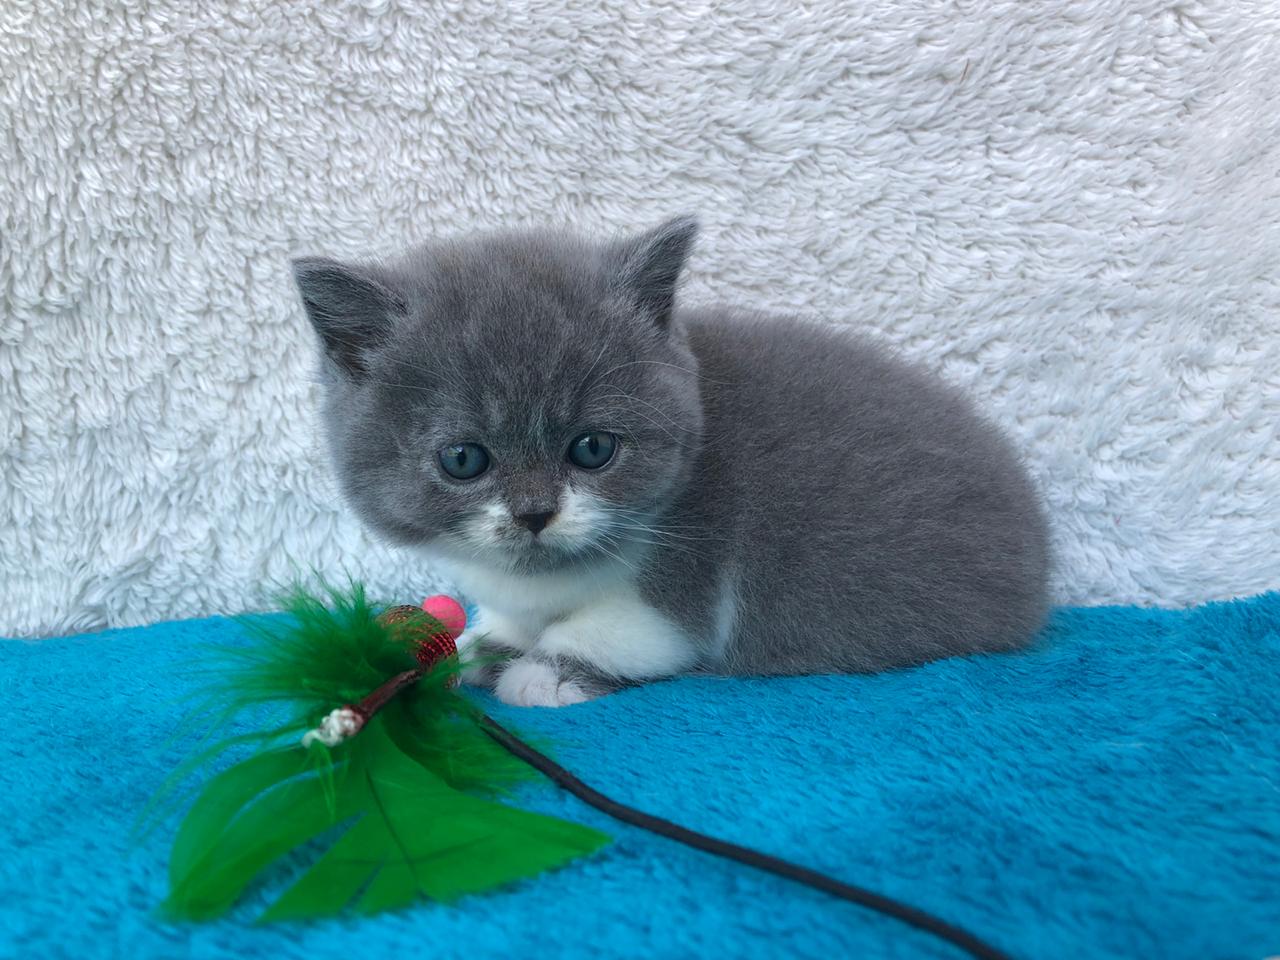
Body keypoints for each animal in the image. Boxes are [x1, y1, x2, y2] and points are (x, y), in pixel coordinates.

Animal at [293, 216, 1051, 707]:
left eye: (593, 449)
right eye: (462, 459)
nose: (535, 513)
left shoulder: (689, 574)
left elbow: (631, 632)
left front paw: (548, 671)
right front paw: (492, 643)